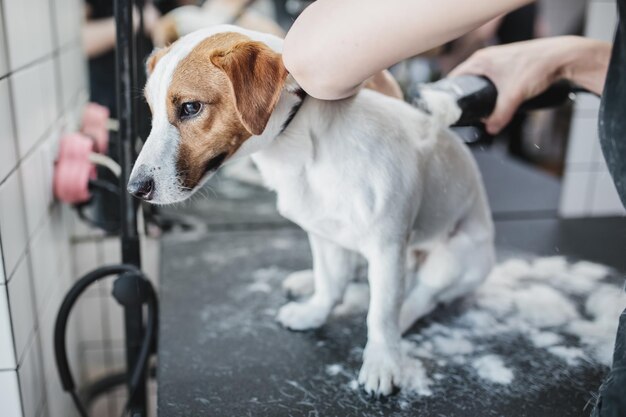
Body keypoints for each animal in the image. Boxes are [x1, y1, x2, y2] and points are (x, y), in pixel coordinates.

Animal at [129, 24, 494, 394]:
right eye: (151, 111)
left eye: (190, 107)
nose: (135, 189)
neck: (299, 143)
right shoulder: (324, 234)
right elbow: (330, 284)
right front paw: (313, 313)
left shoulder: (387, 247)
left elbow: (381, 313)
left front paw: (383, 360)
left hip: (453, 256)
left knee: (423, 295)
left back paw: (404, 315)